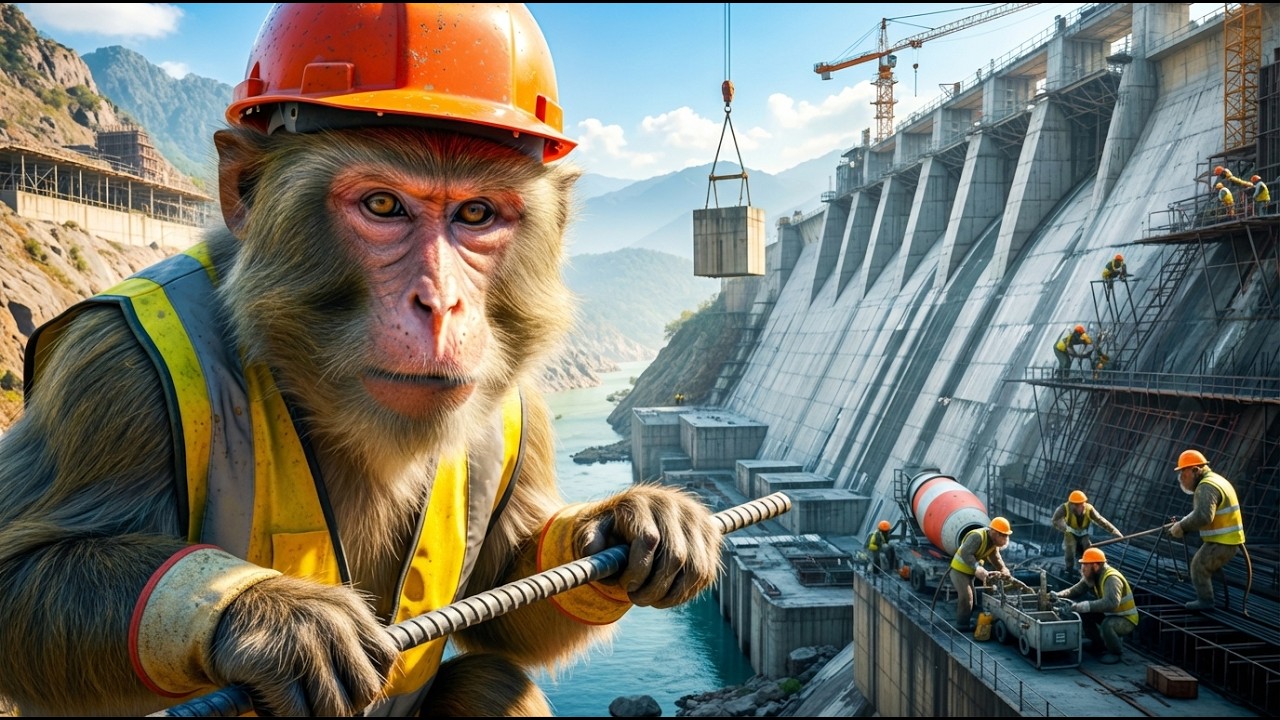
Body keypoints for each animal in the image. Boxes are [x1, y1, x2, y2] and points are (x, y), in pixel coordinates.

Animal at [0, 6, 724, 714]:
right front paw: (276, 617)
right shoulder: (112, 375)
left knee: (494, 680)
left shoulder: (523, 405)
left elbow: (512, 589)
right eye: (383, 204)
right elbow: (21, 564)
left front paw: (632, 515)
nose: (441, 302)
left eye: (476, 214)